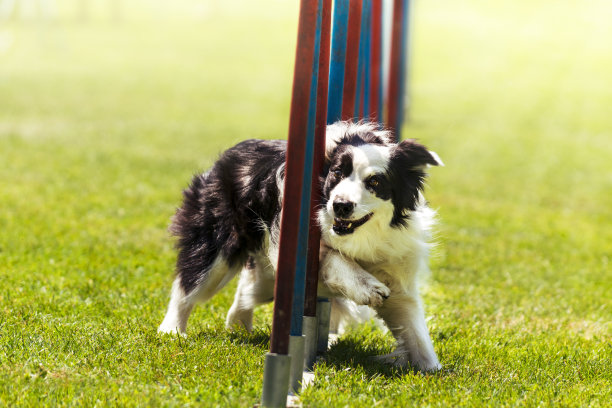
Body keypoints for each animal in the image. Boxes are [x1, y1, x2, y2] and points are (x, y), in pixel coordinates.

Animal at [160, 119, 442, 372]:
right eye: (337, 173)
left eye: (375, 182)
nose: (340, 205)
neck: (361, 238)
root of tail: (230, 153)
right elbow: (334, 258)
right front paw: (367, 287)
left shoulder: (397, 269)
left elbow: (414, 328)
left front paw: (432, 371)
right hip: (216, 239)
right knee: (190, 282)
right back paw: (172, 330)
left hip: (267, 276)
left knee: (248, 290)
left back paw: (239, 326)